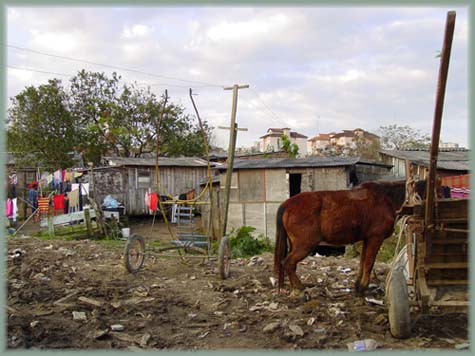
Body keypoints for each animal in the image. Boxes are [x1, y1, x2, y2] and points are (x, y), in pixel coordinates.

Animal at [274, 179, 430, 294]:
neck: (387, 199)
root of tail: (287, 204)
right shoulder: (375, 238)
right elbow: (369, 263)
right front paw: (363, 287)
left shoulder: (367, 239)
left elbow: (363, 262)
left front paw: (358, 285)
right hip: (305, 245)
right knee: (288, 263)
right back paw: (299, 286)